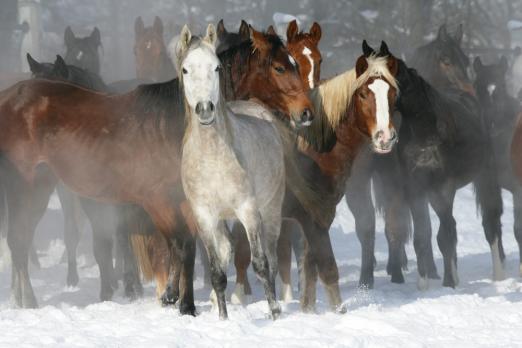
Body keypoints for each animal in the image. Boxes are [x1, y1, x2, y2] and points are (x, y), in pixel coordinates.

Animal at [178, 23, 284, 320]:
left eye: (216, 68)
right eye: (185, 69)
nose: (205, 109)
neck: (213, 158)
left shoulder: (248, 210)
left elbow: (261, 264)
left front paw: (274, 313)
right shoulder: (204, 216)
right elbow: (217, 273)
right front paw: (223, 319)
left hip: (271, 210)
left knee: (272, 258)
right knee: (227, 251)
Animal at [394, 24, 504, 288]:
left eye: (466, 59)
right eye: (445, 60)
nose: (469, 89)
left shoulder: (443, 188)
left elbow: (444, 236)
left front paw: (449, 284)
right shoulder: (415, 189)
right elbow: (422, 237)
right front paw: (423, 286)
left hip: (485, 176)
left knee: (490, 224)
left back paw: (497, 276)